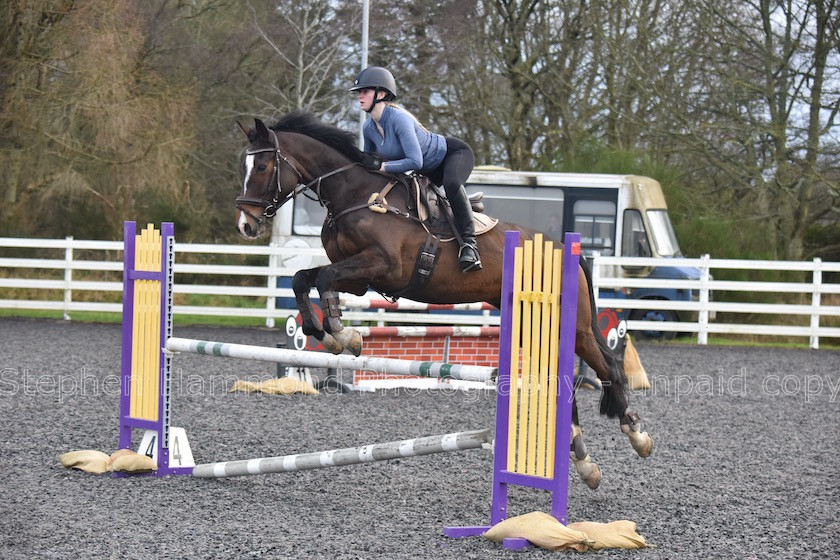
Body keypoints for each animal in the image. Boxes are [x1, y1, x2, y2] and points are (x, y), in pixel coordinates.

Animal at [233, 109, 652, 486]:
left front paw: (338, 333)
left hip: (573, 327)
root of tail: (567, 249)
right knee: (560, 383)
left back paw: (637, 436)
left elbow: (322, 278)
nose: (245, 225)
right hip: (531, 323)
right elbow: (305, 279)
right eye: (245, 166)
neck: (354, 194)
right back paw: (584, 462)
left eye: (263, 167)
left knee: (608, 367)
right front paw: (336, 336)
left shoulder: (383, 266)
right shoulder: (359, 278)